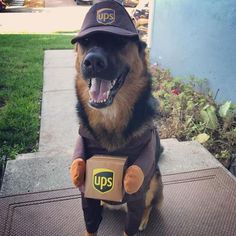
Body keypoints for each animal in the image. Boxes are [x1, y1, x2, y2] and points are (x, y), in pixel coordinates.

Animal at [73, 31, 163, 236]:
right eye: (86, 41)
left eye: (119, 41)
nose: (93, 62)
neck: (110, 116)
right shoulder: (86, 188)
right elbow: (90, 224)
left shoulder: (138, 188)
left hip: (154, 180)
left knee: (150, 205)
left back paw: (144, 219)